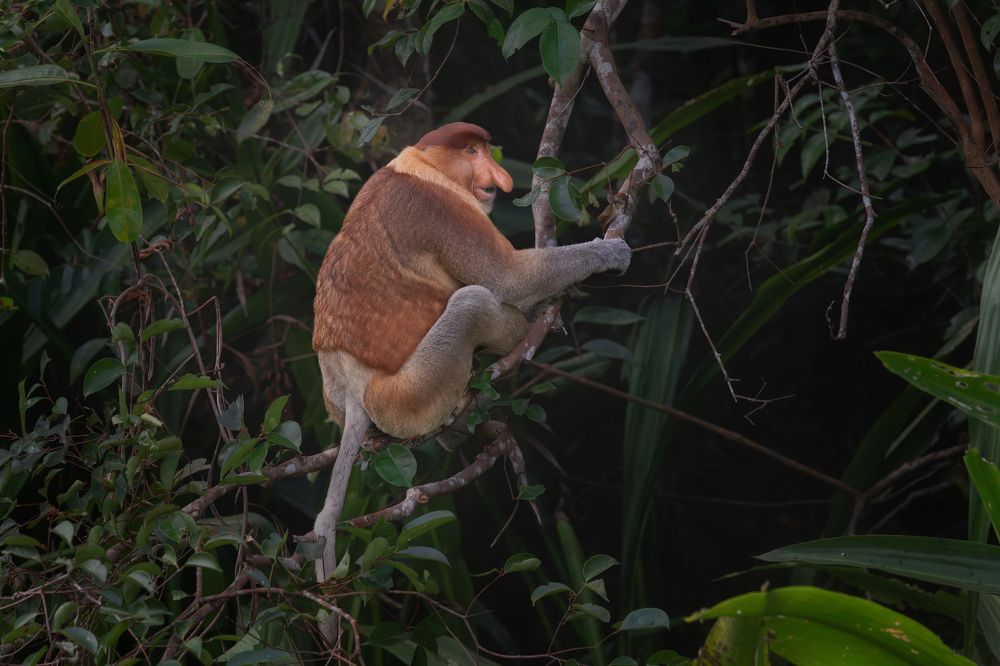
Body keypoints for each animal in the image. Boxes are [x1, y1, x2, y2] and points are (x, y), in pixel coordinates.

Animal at [310, 122, 631, 591]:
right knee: (472, 302)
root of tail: (352, 388)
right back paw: (520, 331)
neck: (424, 167)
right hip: (406, 397)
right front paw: (608, 254)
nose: (502, 179)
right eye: (472, 152)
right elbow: (510, 277)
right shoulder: (442, 208)